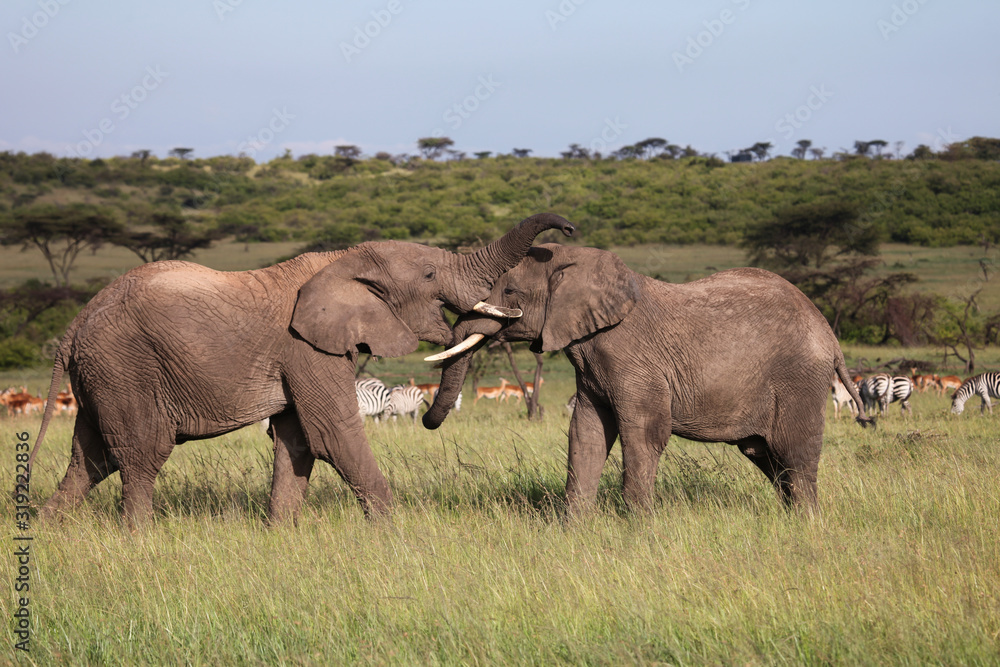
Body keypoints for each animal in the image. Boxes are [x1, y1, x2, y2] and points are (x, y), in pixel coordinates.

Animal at [27, 214, 576, 526]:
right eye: (428, 275)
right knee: (141, 453)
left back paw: (48, 532)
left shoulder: (303, 353)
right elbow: (332, 434)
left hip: (103, 374)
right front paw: (397, 532)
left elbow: (296, 441)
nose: (568, 229)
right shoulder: (305, 348)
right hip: (125, 365)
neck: (343, 260)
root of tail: (74, 325)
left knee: (90, 459)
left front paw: (281, 534)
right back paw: (140, 539)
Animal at [423, 243, 873, 513]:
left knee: (794, 454)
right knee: (764, 455)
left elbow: (643, 433)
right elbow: (585, 434)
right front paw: (573, 531)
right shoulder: (591, 363)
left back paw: (808, 524)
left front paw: (637, 531)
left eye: (511, 292)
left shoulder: (635, 361)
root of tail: (828, 333)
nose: (428, 419)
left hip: (799, 378)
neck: (581, 262)